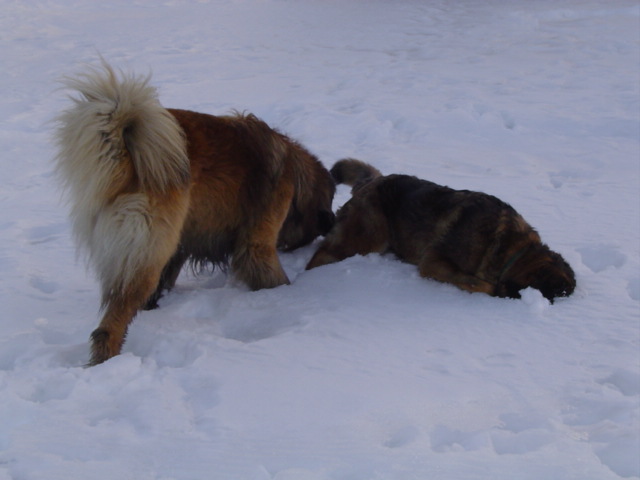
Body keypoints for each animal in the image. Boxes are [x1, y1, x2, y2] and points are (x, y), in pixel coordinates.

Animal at [54, 62, 336, 366]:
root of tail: (127, 156)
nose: (331, 224)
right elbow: (271, 274)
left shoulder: (180, 242)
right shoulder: (257, 243)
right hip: (148, 252)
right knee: (112, 320)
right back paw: (107, 359)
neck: (294, 173)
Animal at [308, 161, 576, 304]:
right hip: (368, 237)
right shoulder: (434, 262)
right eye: (554, 295)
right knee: (320, 255)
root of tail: (371, 182)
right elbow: (480, 284)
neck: (511, 247)